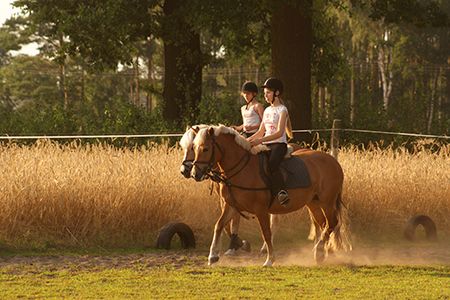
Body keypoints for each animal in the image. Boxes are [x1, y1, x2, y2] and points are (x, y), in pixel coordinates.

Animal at [190, 125, 352, 266]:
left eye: (205, 148)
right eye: (193, 148)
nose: (194, 174)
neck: (243, 169)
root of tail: (333, 161)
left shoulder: (261, 210)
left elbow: (266, 233)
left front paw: (269, 260)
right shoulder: (231, 205)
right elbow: (219, 225)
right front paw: (212, 256)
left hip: (327, 201)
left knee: (332, 222)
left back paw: (319, 251)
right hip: (313, 203)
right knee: (324, 224)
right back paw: (324, 252)